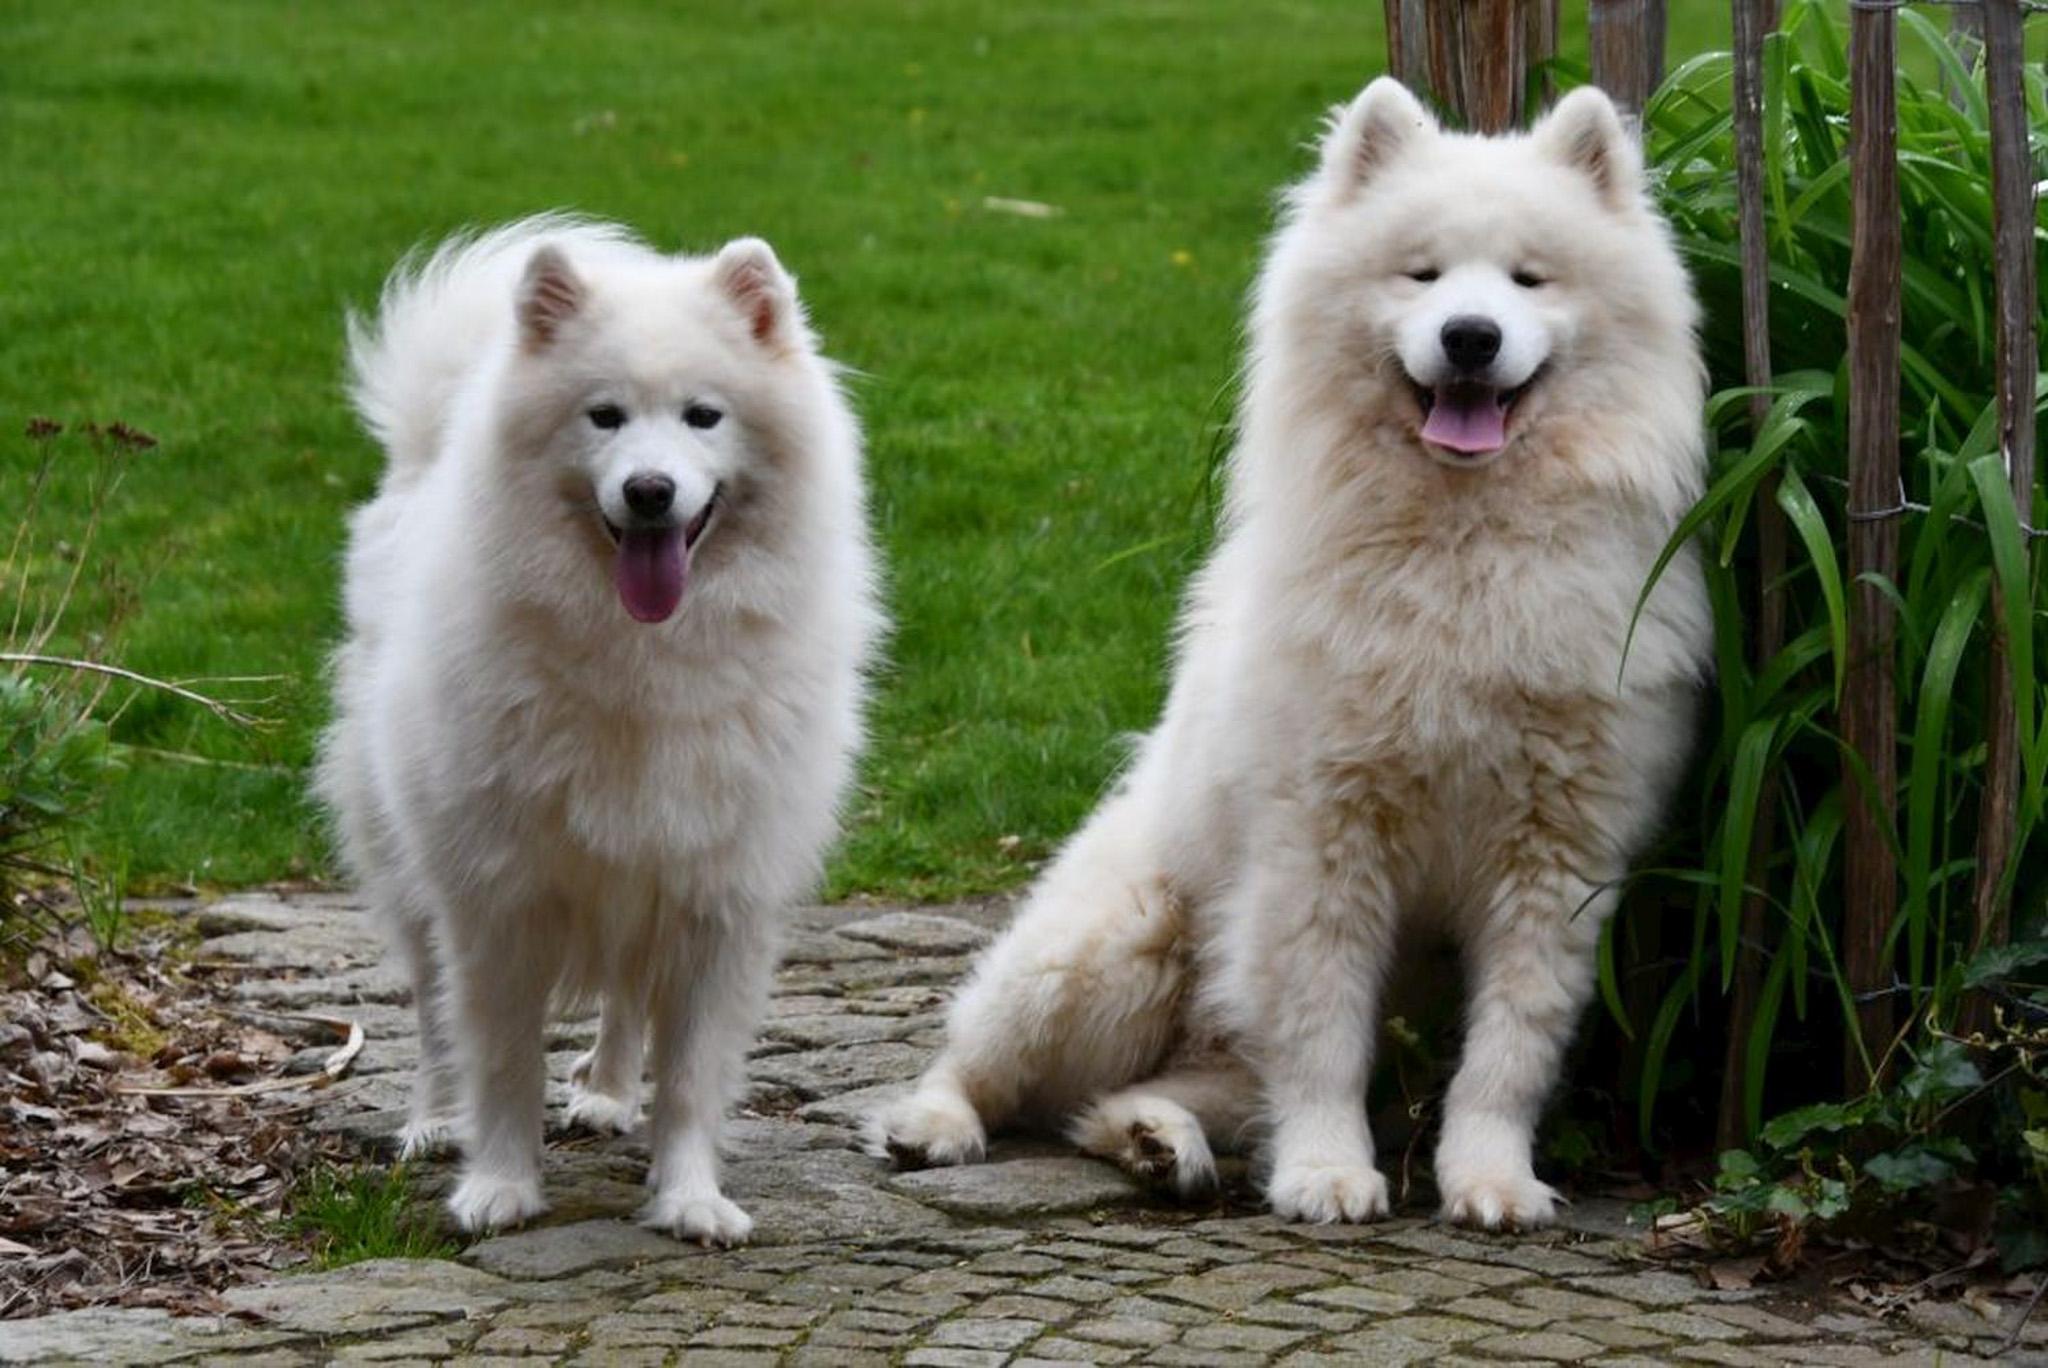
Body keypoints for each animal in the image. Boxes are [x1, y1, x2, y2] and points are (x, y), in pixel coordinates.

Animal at [319, 210, 880, 1236]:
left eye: (704, 416)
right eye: (604, 416)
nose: (650, 491)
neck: (643, 656)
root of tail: (419, 460)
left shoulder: (715, 892)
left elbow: (691, 1075)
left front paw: (690, 1197)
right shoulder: (497, 891)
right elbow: (502, 1057)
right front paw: (500, 1184)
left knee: (624, 1000)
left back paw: (610, 1095)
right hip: (407, 862)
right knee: (431, 1013)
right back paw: (433, 1122)